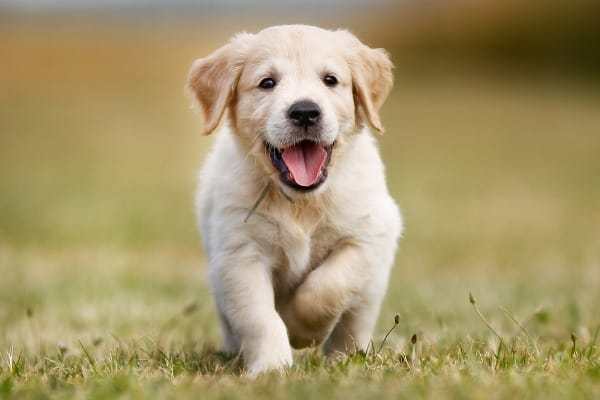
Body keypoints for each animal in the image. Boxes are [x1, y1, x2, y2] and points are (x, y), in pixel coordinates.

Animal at [188, 24, 404, 376]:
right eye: (267, 82)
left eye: (330, 80)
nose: (304, 111)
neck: (302, 201)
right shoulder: (240, 255)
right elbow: (260, 318)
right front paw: (272, 367)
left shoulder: (368, 236)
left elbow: (329, 286)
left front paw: (302, 330)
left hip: (371, 289)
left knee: (354, 322)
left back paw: (345, 357)